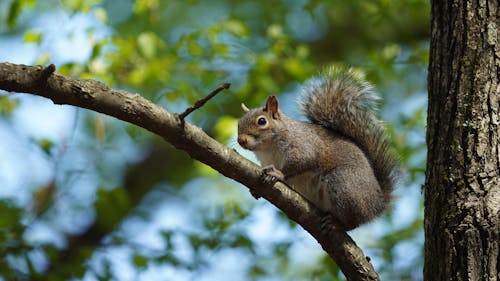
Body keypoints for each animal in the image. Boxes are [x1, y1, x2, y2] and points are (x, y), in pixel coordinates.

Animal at [236, 68, 396, 230]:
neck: (267, 148)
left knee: (354, 222)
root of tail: (378, 204)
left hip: (343, 183)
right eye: (238, 124)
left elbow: (302, 161)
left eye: (262, 121)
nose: (240, 140)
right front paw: (256, 190)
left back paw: (337, 223)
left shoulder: (303, 145)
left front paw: (278, 173)